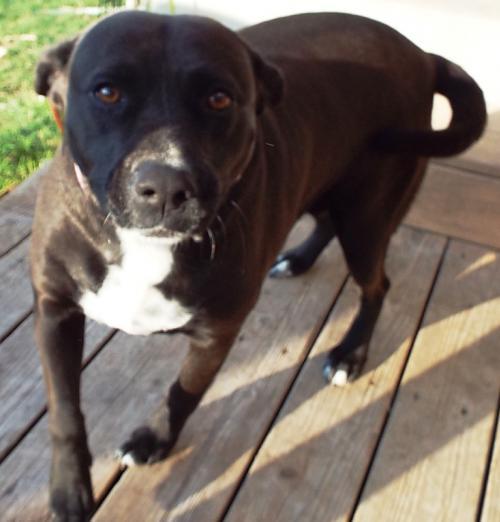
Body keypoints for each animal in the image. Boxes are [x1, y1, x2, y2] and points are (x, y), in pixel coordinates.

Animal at [31, 10, 484, 516]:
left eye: (219, 98)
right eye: (107, 92)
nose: (166, 187)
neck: (143, 246)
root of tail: (422, 55)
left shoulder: (217, 332)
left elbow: (183, 392)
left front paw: (155, 439)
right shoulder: (53, 312)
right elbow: (65, 412)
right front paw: (69, 489)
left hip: (367, 219)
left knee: (377, 285)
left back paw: (350, 353)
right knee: (326, 221)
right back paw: (298, 260)